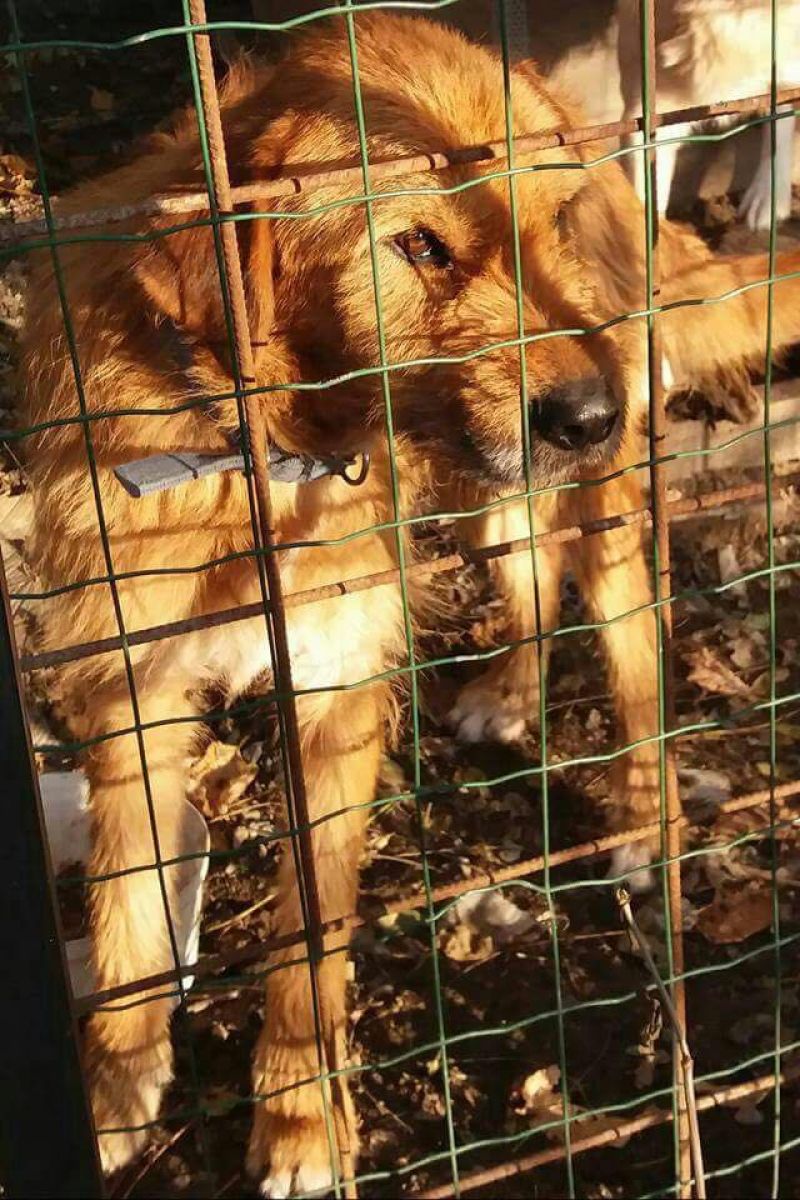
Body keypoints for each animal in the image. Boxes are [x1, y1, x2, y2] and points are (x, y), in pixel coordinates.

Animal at [15, 14, 800, 1195]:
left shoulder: (337, 692)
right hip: (496, 493)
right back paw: (509, 692)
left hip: (603, 509)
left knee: (635, 648)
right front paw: (114, 1079)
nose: (593, 409)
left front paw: (300, 1119)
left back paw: (645, 814)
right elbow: (124, 903)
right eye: (419, 247)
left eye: (547, 222)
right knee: (532, 572)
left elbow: (310, 931)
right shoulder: (130, 693)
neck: (266, 449)